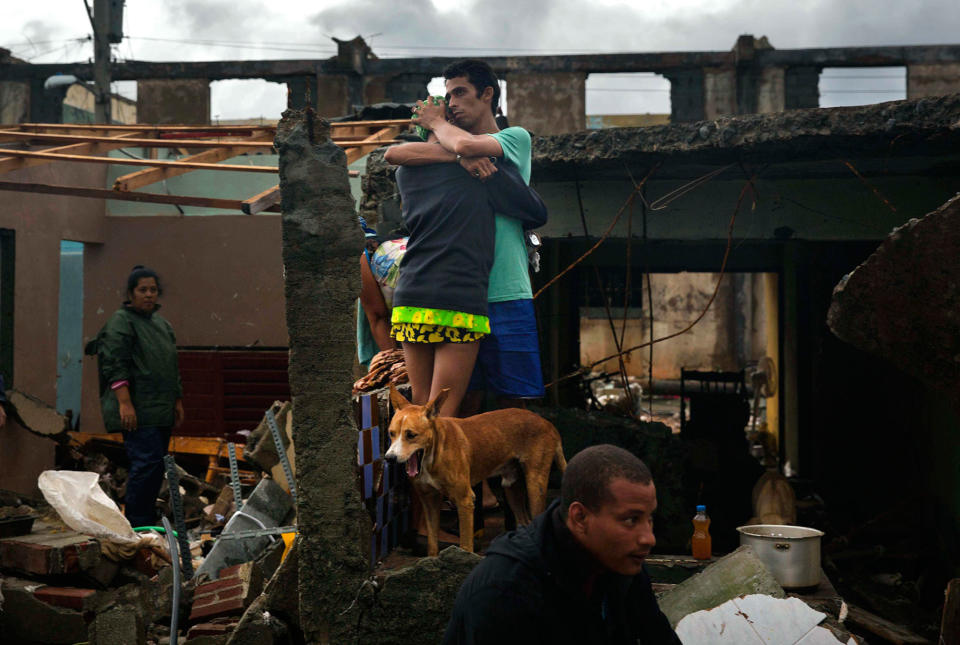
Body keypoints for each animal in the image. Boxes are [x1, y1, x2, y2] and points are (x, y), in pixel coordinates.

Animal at [386, 384, 568, 556]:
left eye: (411, 435)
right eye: (391, 433)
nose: (389, 458)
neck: (435, 453)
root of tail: (547, 423)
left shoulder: (465, 500)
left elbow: (465, 545)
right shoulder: (429, 501)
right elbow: (432, 546)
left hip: (535, 486)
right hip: (512, 488)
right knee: (525, 522)